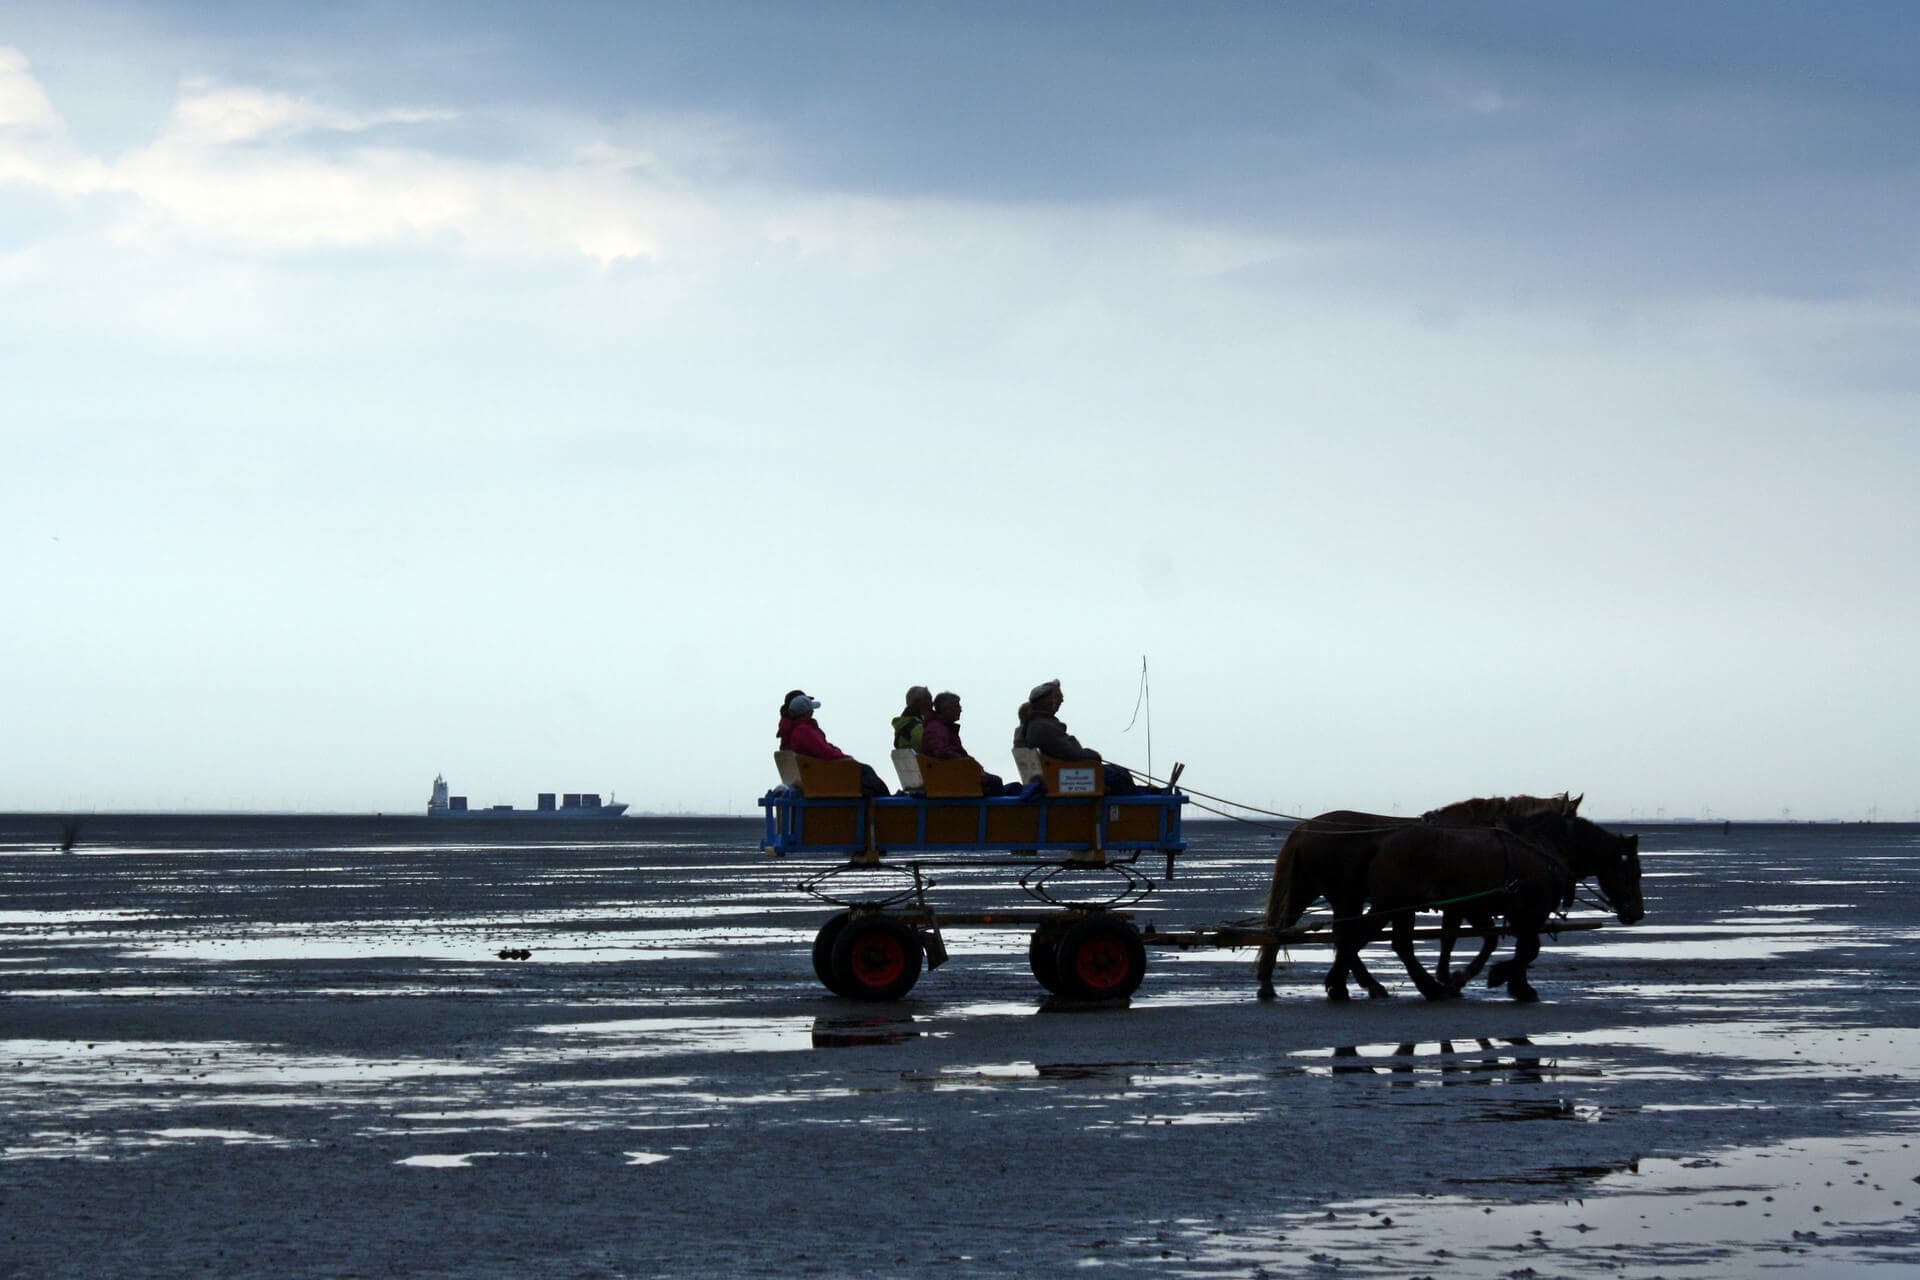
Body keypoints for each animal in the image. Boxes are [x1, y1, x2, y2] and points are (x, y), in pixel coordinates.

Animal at [1251, 790, 1582, 997]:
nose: (1565, 878)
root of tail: (1305, 829)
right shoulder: (1460, 904)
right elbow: (1452, 938)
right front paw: (1450, 978)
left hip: (1318, 893)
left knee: (1296, 930)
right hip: (1347, 897)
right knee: (1345, 936)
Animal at [1351, 817, 1651, 1005]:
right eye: (1632, 871)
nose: (1636, 912)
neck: (1546, 850)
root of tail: (1381, 844)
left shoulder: (1482, 908)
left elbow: (1506, 944)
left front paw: (1512, 984)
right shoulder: (1531, 910)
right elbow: (1528, 949)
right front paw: (1502, 978)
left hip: (1399, 906)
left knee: (1389, 942)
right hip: (1392, 903)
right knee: (1364, 937)